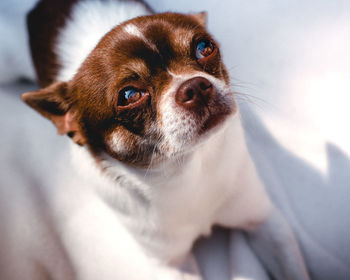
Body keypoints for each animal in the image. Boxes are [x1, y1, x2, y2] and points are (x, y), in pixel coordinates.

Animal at [19, 0, 308, 278]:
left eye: (205, 47)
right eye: (129, 95)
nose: (195, 86)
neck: (188, 171)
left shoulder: (265, 222)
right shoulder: (172, 265)